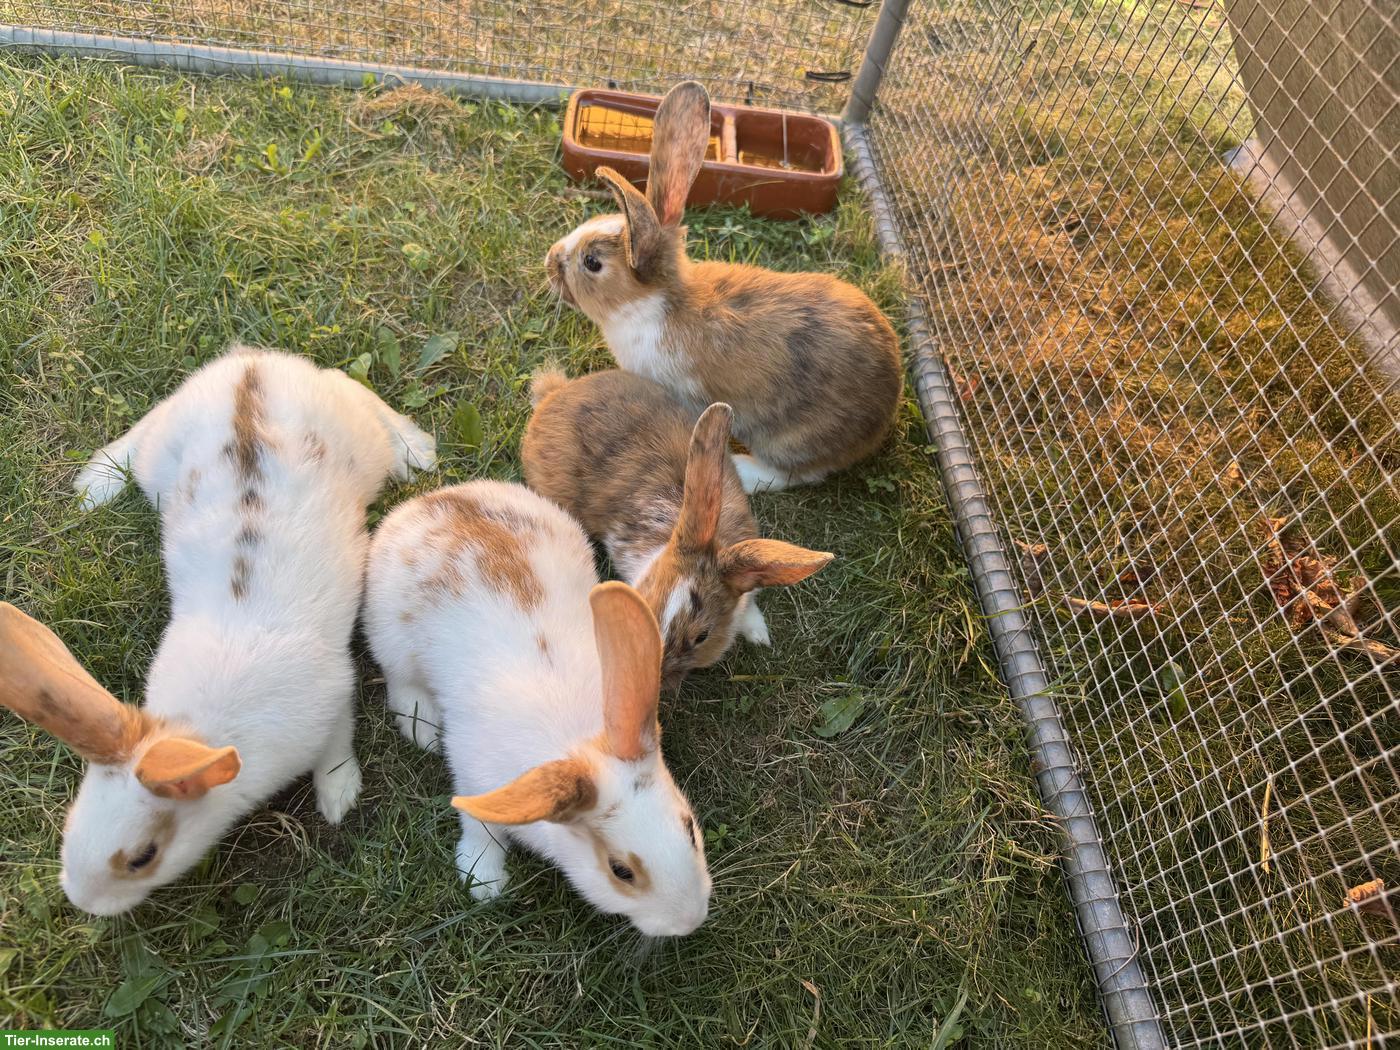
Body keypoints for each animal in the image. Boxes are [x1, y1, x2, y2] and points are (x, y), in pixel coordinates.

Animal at [0, 346, 435, 916]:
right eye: (72, 823)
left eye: (142, 857)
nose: (83, 902)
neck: (201, 732)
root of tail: (252, 365)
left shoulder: (333, 698)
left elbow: (337, 746)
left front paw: (338, 798)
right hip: (164, 449)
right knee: (147, 425)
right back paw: (96, 485)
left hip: (360, 441)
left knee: (357, 390)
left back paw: (416, 450)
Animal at [362, 479, 711, 937]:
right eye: (621, 871)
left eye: (689, 827)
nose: (691, 920)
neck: (575, 745)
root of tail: (432, 500)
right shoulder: (474, 779)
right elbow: (481, 831)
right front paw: (483, 882)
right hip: (391, 641)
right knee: (400, 683)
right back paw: (423, 730)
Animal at [544, 80, 902, 494]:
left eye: (592, 262)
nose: (550, 260)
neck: (655, 304)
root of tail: (886, 406)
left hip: (791, 439)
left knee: (798, 472)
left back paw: (742, 469)